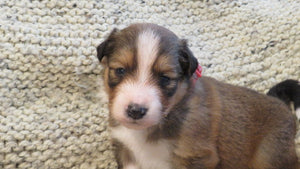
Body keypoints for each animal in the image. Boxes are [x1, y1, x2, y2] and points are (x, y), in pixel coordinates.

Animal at [96, 23, 298, 169]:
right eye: (120, 70)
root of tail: (280, 103)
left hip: (269, 156)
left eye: (165, 78)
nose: (135, 111)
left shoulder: (197, 155)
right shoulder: (125, 150)